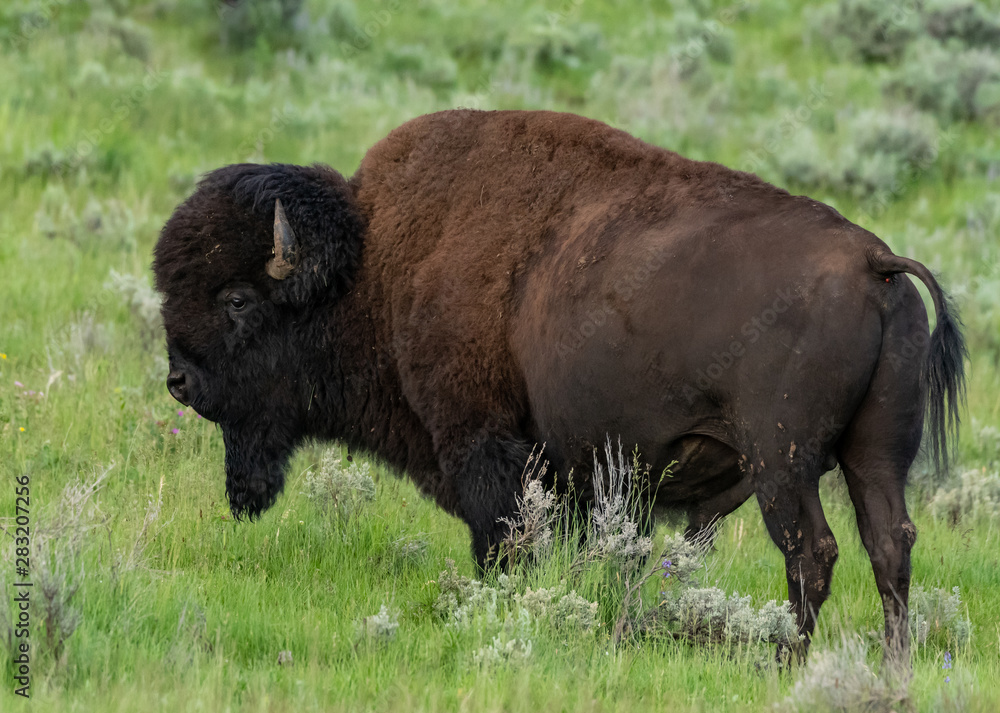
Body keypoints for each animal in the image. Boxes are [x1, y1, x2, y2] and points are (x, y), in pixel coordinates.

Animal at [152, 108, 964, 660]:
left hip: (782, 462)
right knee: (889, 543)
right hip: (874, 456)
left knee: (813, 551)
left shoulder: (484, 446)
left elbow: (502, 543)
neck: (372, 265)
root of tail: (874, 263)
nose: (179, 381)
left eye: (237, 299)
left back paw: (782, 660)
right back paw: (891, 666)